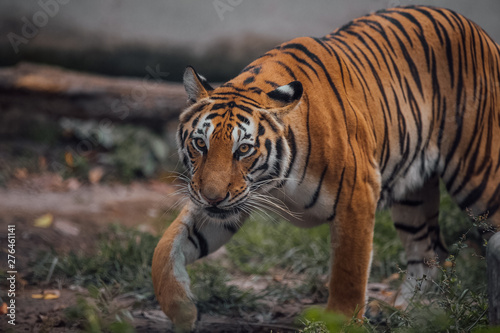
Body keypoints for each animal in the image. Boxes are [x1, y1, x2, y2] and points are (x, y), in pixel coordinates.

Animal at [151, 4, 500, 330]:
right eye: (200, 144)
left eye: (244, 149)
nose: (212, 198)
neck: (275, 182)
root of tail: (480, 31)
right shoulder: (223, 202)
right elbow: (165, 248)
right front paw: (182, 309)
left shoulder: (358, 194)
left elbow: (349, 270)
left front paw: (341, 322)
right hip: (411, 195)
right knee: (430, 252)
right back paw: (402, 312)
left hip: (478, 178)